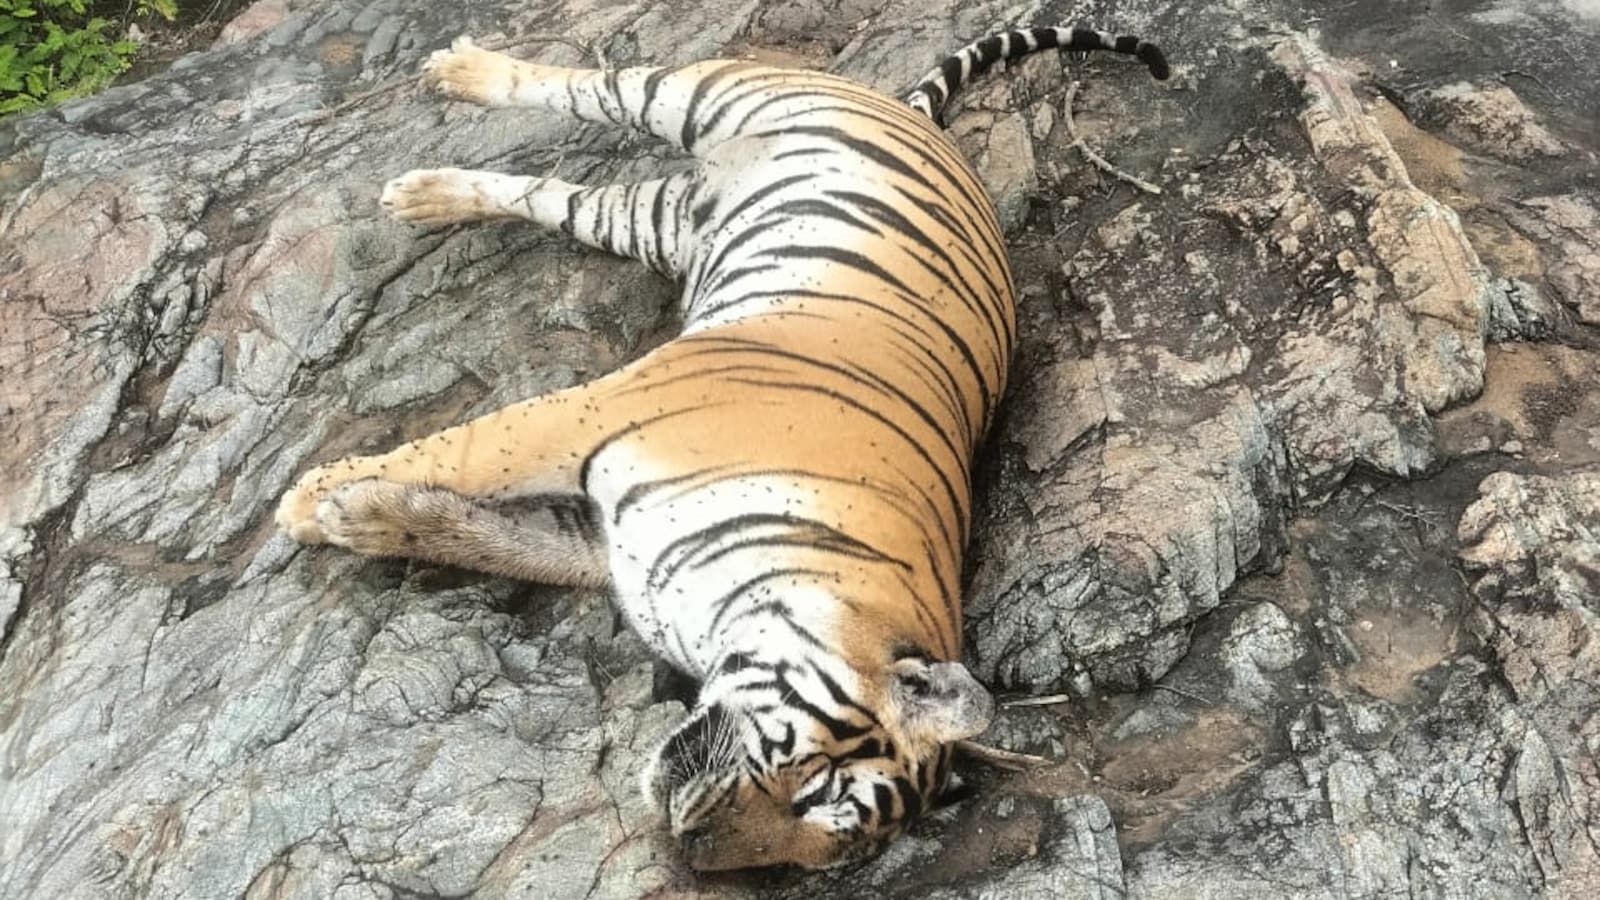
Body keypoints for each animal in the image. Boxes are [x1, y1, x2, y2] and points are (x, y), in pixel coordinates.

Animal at [274, 25, 1169, 870]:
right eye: (818, 787)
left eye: (819, 841)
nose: (691, 846)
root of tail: (918, 119)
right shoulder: (592, 416)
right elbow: (463, 453)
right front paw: (306, 500)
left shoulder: (600, 543)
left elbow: (484, 537)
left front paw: (361, 517)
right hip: (704, 94)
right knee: (582, 86)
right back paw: (460, 74)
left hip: (649, 221)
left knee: (549, 193)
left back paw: (424, 195)